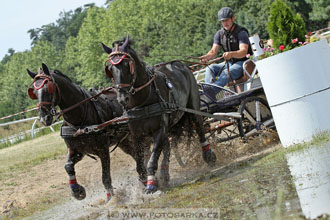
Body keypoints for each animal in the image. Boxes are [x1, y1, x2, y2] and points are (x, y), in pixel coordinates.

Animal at [26, 63, 150, 201]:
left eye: (49, 88)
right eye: (34, 92)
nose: (43, 119)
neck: (79, 120)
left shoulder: (103, 150)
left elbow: (105, 178)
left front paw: (110, 199)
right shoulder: (77, 149)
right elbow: (68, 166)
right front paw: (77, 191)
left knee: (142, 153)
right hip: (124, 141)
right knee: (136, 154)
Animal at [102, 38, 217, 193]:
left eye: (127, 65)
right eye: (110, 70)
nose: (122, 99)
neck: (143, 100)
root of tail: (179, 64)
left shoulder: (159, 129)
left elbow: (153, 157)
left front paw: (151, 184)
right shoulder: (137, 135)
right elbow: (140, 163)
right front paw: (146, 179)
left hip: (193, 107)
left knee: (199, 128)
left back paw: (208, 156)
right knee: (168, 145)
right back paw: (164, 175)